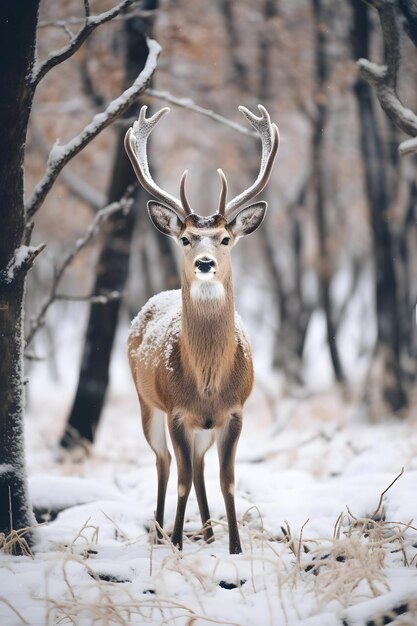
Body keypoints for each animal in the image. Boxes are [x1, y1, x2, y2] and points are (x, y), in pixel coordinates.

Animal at [125, 103, 278, 552]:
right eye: (186, 238)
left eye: (226, 238)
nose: (205, 263)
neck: (207, 383)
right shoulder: (177, 410)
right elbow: (180, 479)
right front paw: (177, 542)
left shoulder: (235, 411)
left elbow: (227, 481)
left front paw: (235, 548)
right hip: (146, 402)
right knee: (164, 463)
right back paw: (162, 533)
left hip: (202, 427)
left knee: (200, 467)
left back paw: (209, 533)